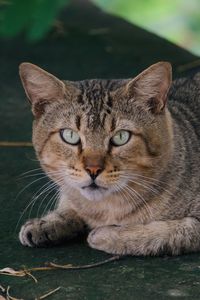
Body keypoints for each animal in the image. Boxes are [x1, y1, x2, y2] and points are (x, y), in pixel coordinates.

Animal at [18, 62, 200, 255]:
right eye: (69, 135)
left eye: (121, 137)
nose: (93, 169)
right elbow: (70, 200)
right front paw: (48, 222)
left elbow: (168, 232)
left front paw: (107, 234)